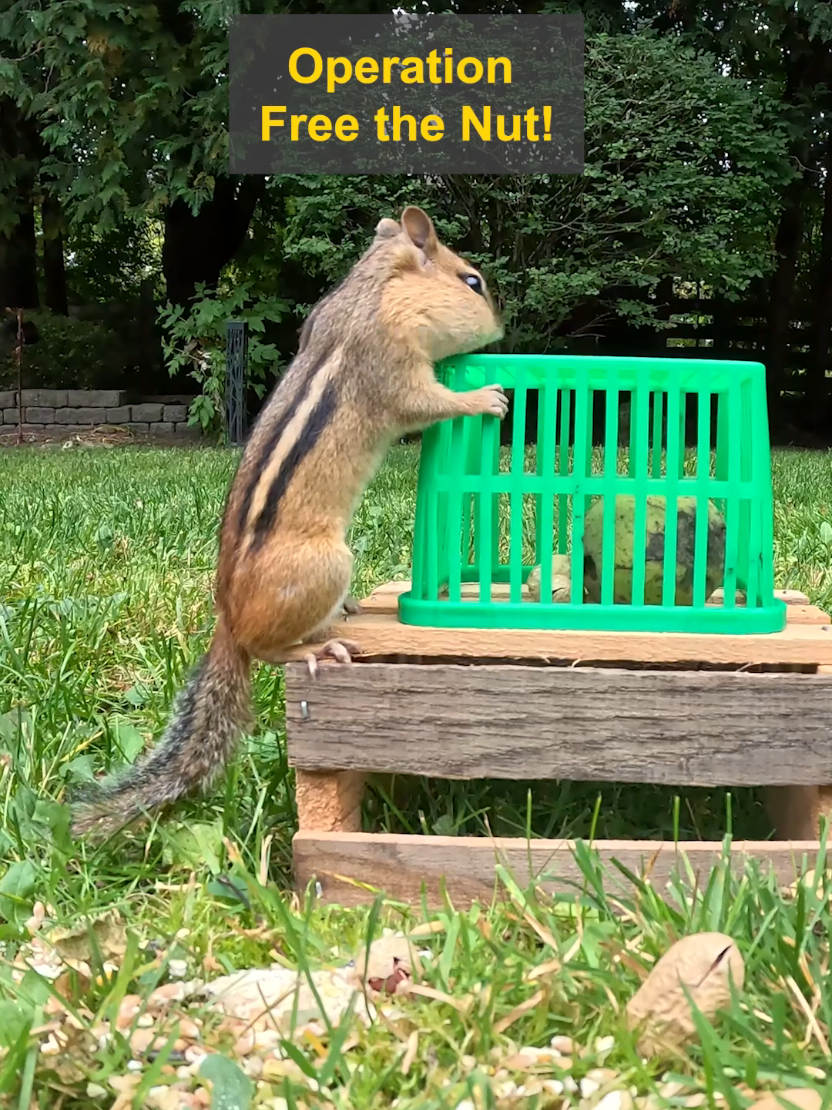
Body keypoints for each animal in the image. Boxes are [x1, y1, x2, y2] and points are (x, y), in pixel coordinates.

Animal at [71, 205, 508, 838]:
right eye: (471, 281)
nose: (502, 325)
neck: (372, 292)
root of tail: (227, 622)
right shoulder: (393, 368)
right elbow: (427, 405)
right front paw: (484, 398)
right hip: (325, 564)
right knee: (267, 650)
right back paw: (310, 650)